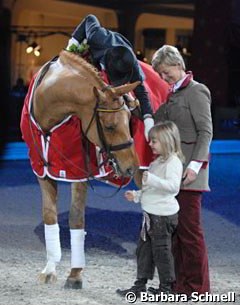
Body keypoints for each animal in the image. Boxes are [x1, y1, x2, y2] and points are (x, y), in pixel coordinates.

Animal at [21, 50, 141, 288]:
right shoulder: (42, 171)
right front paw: (50, 269)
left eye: (129, 120)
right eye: (109, 126)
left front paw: (75, 274)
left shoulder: (78, 173)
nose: (130, 167)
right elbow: (49, 215)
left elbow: (76, 217)